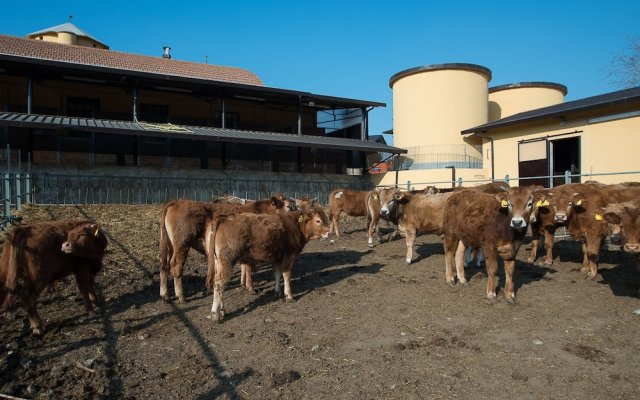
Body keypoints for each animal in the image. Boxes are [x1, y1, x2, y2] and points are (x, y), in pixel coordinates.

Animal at [160, 195, 290, 302]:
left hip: (169, 245)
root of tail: (177, 201)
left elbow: (244, 266)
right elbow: (248, 268)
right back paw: (181, 297)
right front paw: (250, 287)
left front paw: (243, 283)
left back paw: (165, 295)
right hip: (182, 245)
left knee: (164, 265)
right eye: (288, 206)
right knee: (176, 267)